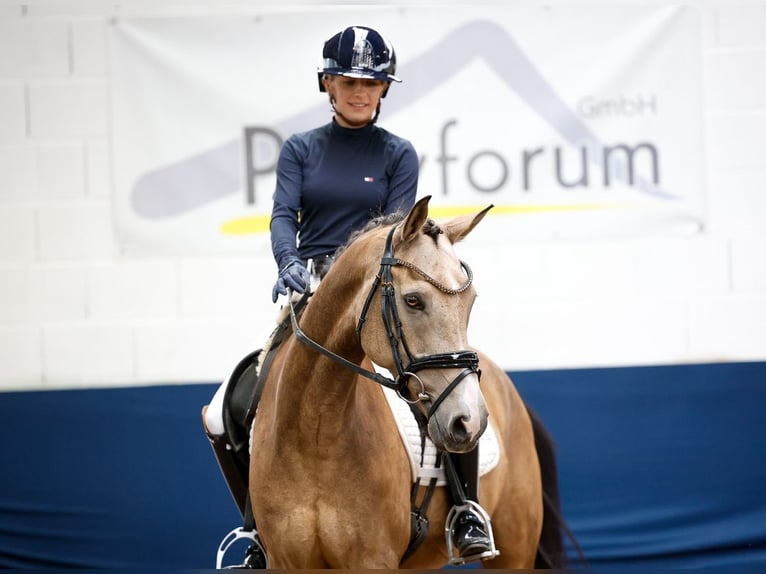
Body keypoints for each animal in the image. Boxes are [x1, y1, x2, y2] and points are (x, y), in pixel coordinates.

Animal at [249, 196, 568, 568]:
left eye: (470, 302)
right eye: (413, 300)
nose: (470, 420)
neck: (314, 431)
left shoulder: (373, 560)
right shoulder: (286, 561)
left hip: (514, 551)